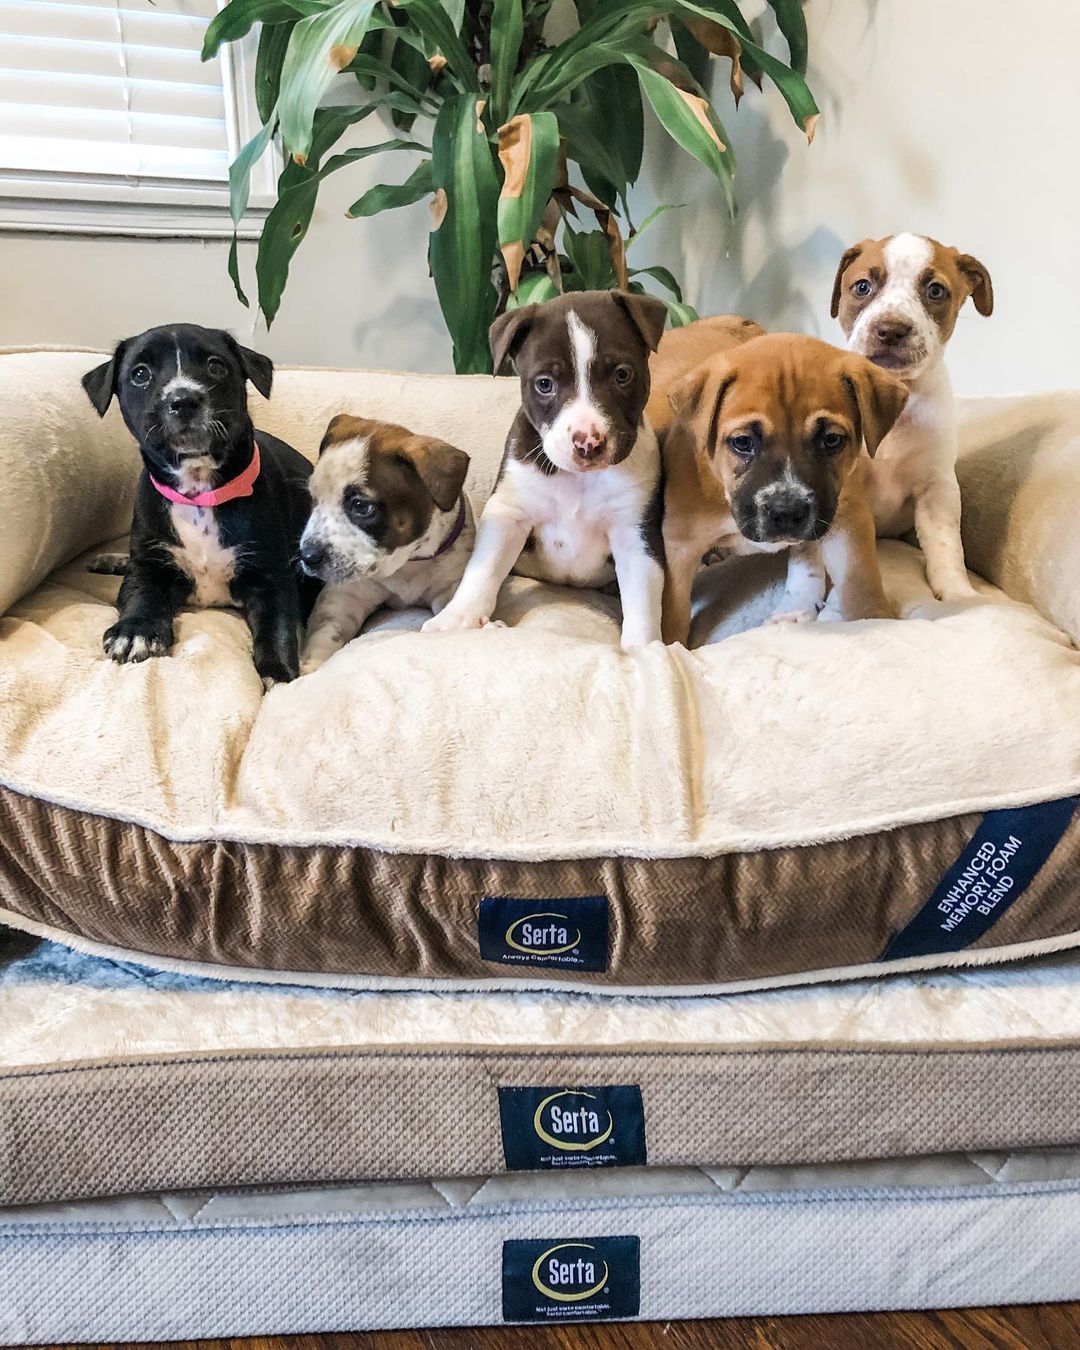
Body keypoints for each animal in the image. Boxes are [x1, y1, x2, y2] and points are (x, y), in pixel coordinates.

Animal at [85, 325, 314, 685]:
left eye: (216, 365)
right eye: (140, 374)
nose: (183, 400)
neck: (198, 491)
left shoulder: (271, 576)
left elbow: (277, 627)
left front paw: (278, 674)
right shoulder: (148, 565)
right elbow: (139, 593)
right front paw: (135, 631)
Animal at [301, 405, 475, 669]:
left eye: (361, 507)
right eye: (313, 499)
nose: (307, 556)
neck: (406, 564)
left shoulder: (450, 585)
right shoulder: (344, 596)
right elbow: (325, 632)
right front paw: (312, 668)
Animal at [418, 290, 666, 648]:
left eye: (622, 374)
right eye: (545, 384)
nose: (588, 443)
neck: (578, 479)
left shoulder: (634, 534)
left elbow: (642, 602)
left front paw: (643, 649)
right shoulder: (508, 513)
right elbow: (483, 569)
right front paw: (456, 619)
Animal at [831, 232, 993, 602]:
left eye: (936, 291)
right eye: (862, 286)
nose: (891, 330)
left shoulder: (937, 490)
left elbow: (946, 548)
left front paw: (959, 594)